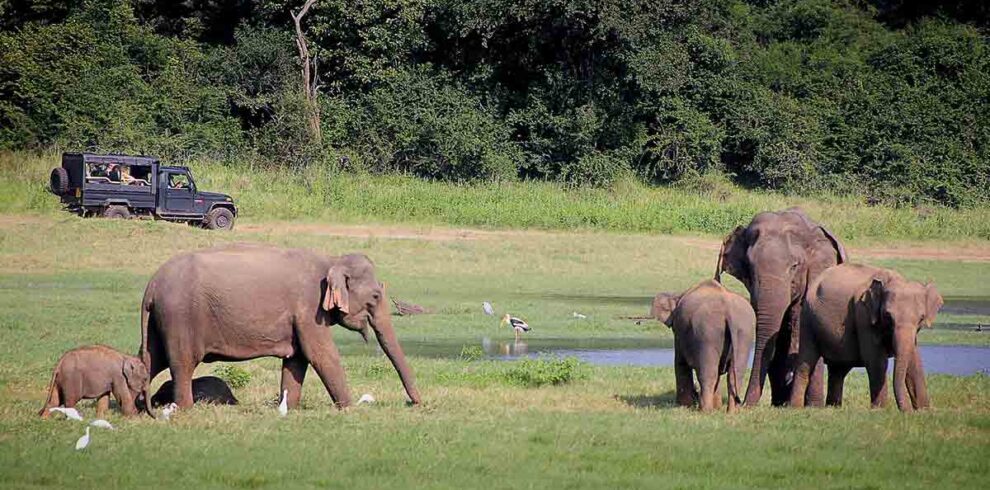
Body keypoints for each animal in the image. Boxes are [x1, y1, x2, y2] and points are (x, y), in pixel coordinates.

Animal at [139, 245, 418, 410]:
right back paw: (185, 410)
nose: (415, 403)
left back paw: (138, 409)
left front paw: (289, 409)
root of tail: (151, 285)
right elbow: (320, 354)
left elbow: (297, 359)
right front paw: (350, 408)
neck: (332, 259)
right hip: (180, 318)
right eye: (375, 297)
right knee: (182, 362)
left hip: (160, 321)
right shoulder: (309, 308)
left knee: (150, 359)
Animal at [656, 280, 756, 414]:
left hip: (707, 333)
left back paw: (705, 411)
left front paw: (684, 406)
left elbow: (680, 363)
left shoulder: (679, 331)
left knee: (708, 373)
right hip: (744, 331)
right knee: (735, 374)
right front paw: (717, 407)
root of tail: (728, 311)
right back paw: (732, 412)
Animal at [792, 262, 944, 412]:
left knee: (838, 369)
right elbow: (876, 361)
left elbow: (914, 362)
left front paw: (924, 411)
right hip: (807, 319)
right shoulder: (863, 315)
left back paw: (833, 408)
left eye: (921, 318)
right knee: (806, 363)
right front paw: (880, 410)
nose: (906, 411)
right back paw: (796, 408)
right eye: (887, 316)